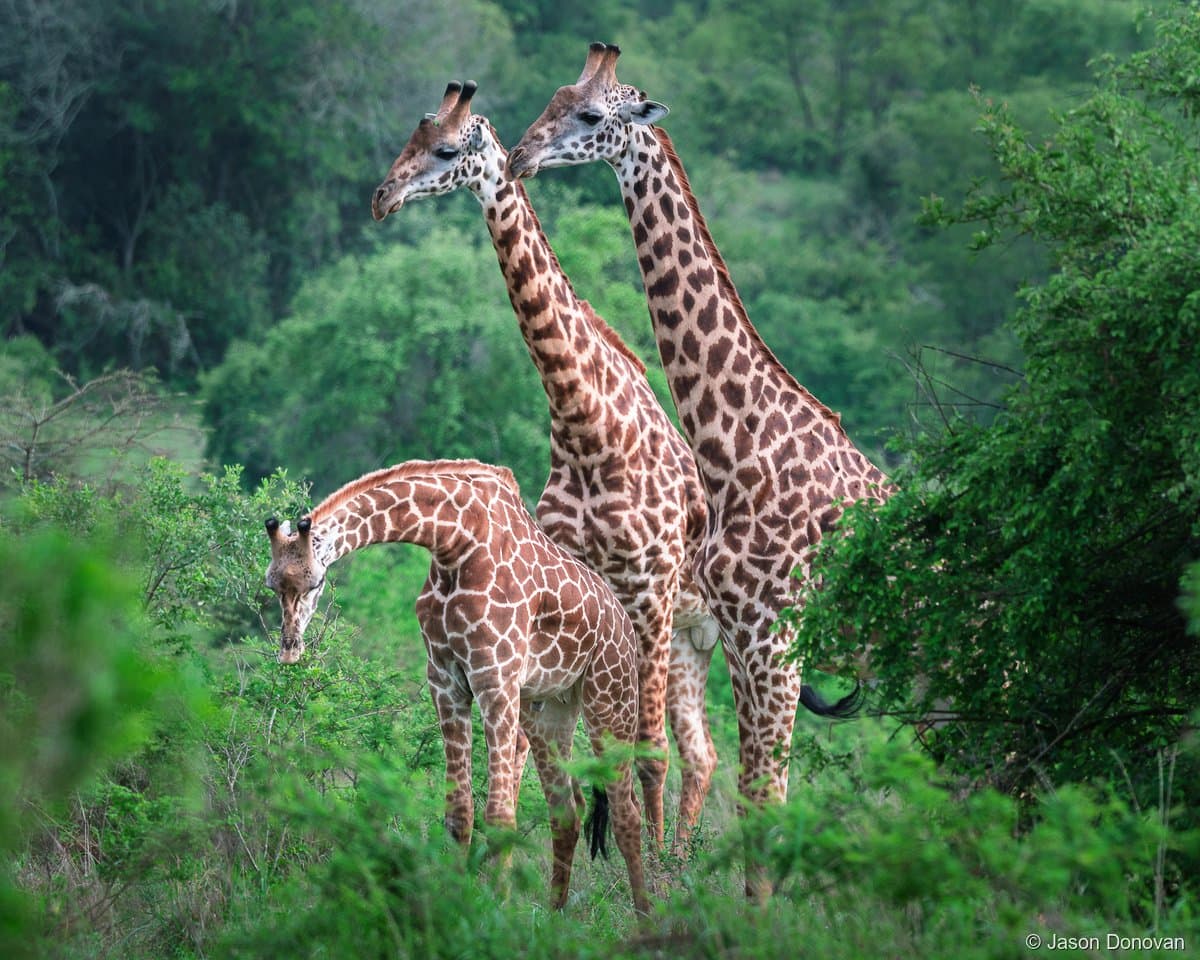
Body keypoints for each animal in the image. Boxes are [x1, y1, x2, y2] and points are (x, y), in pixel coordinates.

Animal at [263, 458, 649, 914]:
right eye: (272, 585)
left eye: (315, 583)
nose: (290, 650)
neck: (454, 541)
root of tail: (625, 625)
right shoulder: (445, 683)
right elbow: (459, 813)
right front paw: (458, 902)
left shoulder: (496, 678)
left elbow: (500, 814)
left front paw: (498, 912)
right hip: (549, 710)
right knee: (566, 811)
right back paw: (556, 916)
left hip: (611, 697)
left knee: (627, 812)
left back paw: (649, 915)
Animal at [370, 80, 720, 850]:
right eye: (409, 137)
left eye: (446, 149)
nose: (381, 197)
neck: (587, 425)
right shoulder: (577, 596)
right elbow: (561, 755)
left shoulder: (648, 591)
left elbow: (640, 751)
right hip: (690, 640)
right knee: (703, 752)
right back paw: (676, 852)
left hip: (712, 628)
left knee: (695, 747)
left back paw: (677, 859)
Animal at [508, 42, 891, 896]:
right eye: (551, 96)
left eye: (590, 113)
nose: (519, 155)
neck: (739, 444)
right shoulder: (743, 643)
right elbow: (747, 794)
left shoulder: (773, 637)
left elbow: (763, 796)